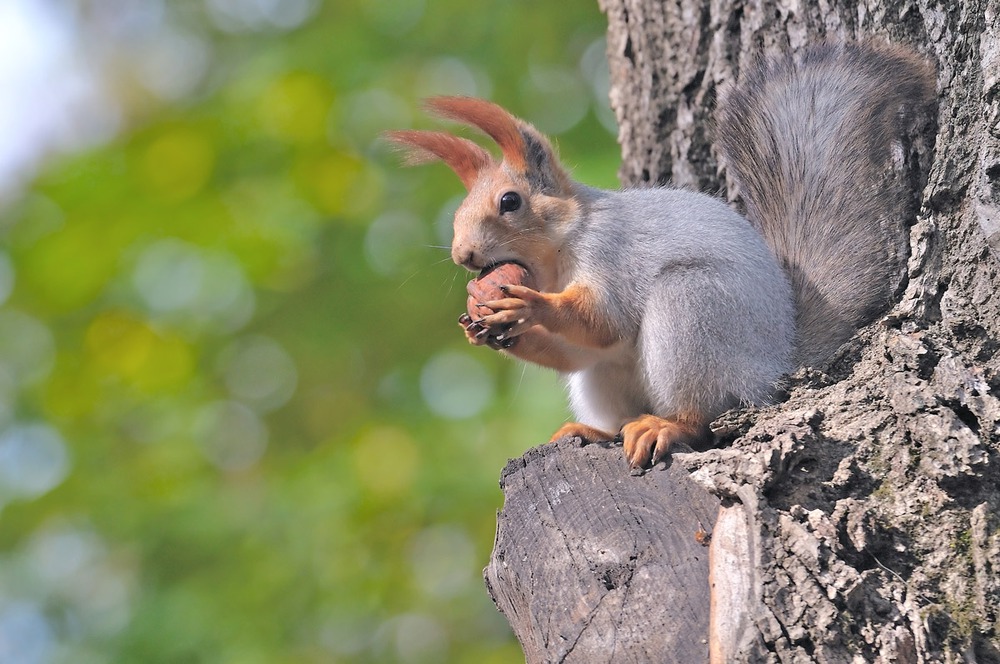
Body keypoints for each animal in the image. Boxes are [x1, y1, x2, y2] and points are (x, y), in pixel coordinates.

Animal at [384, 42, 936, 466]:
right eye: (459, 214)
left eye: (510, 202)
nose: (463, 255)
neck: (557, 256)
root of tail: (777, 363)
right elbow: (580, 349)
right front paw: (482, 327)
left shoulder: (610, 252)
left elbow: (603, 319)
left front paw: (527, 306)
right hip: (607, 380)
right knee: (602, 382)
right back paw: (595, 431)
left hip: (693, 309)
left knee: (702, 416)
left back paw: (668, 427)